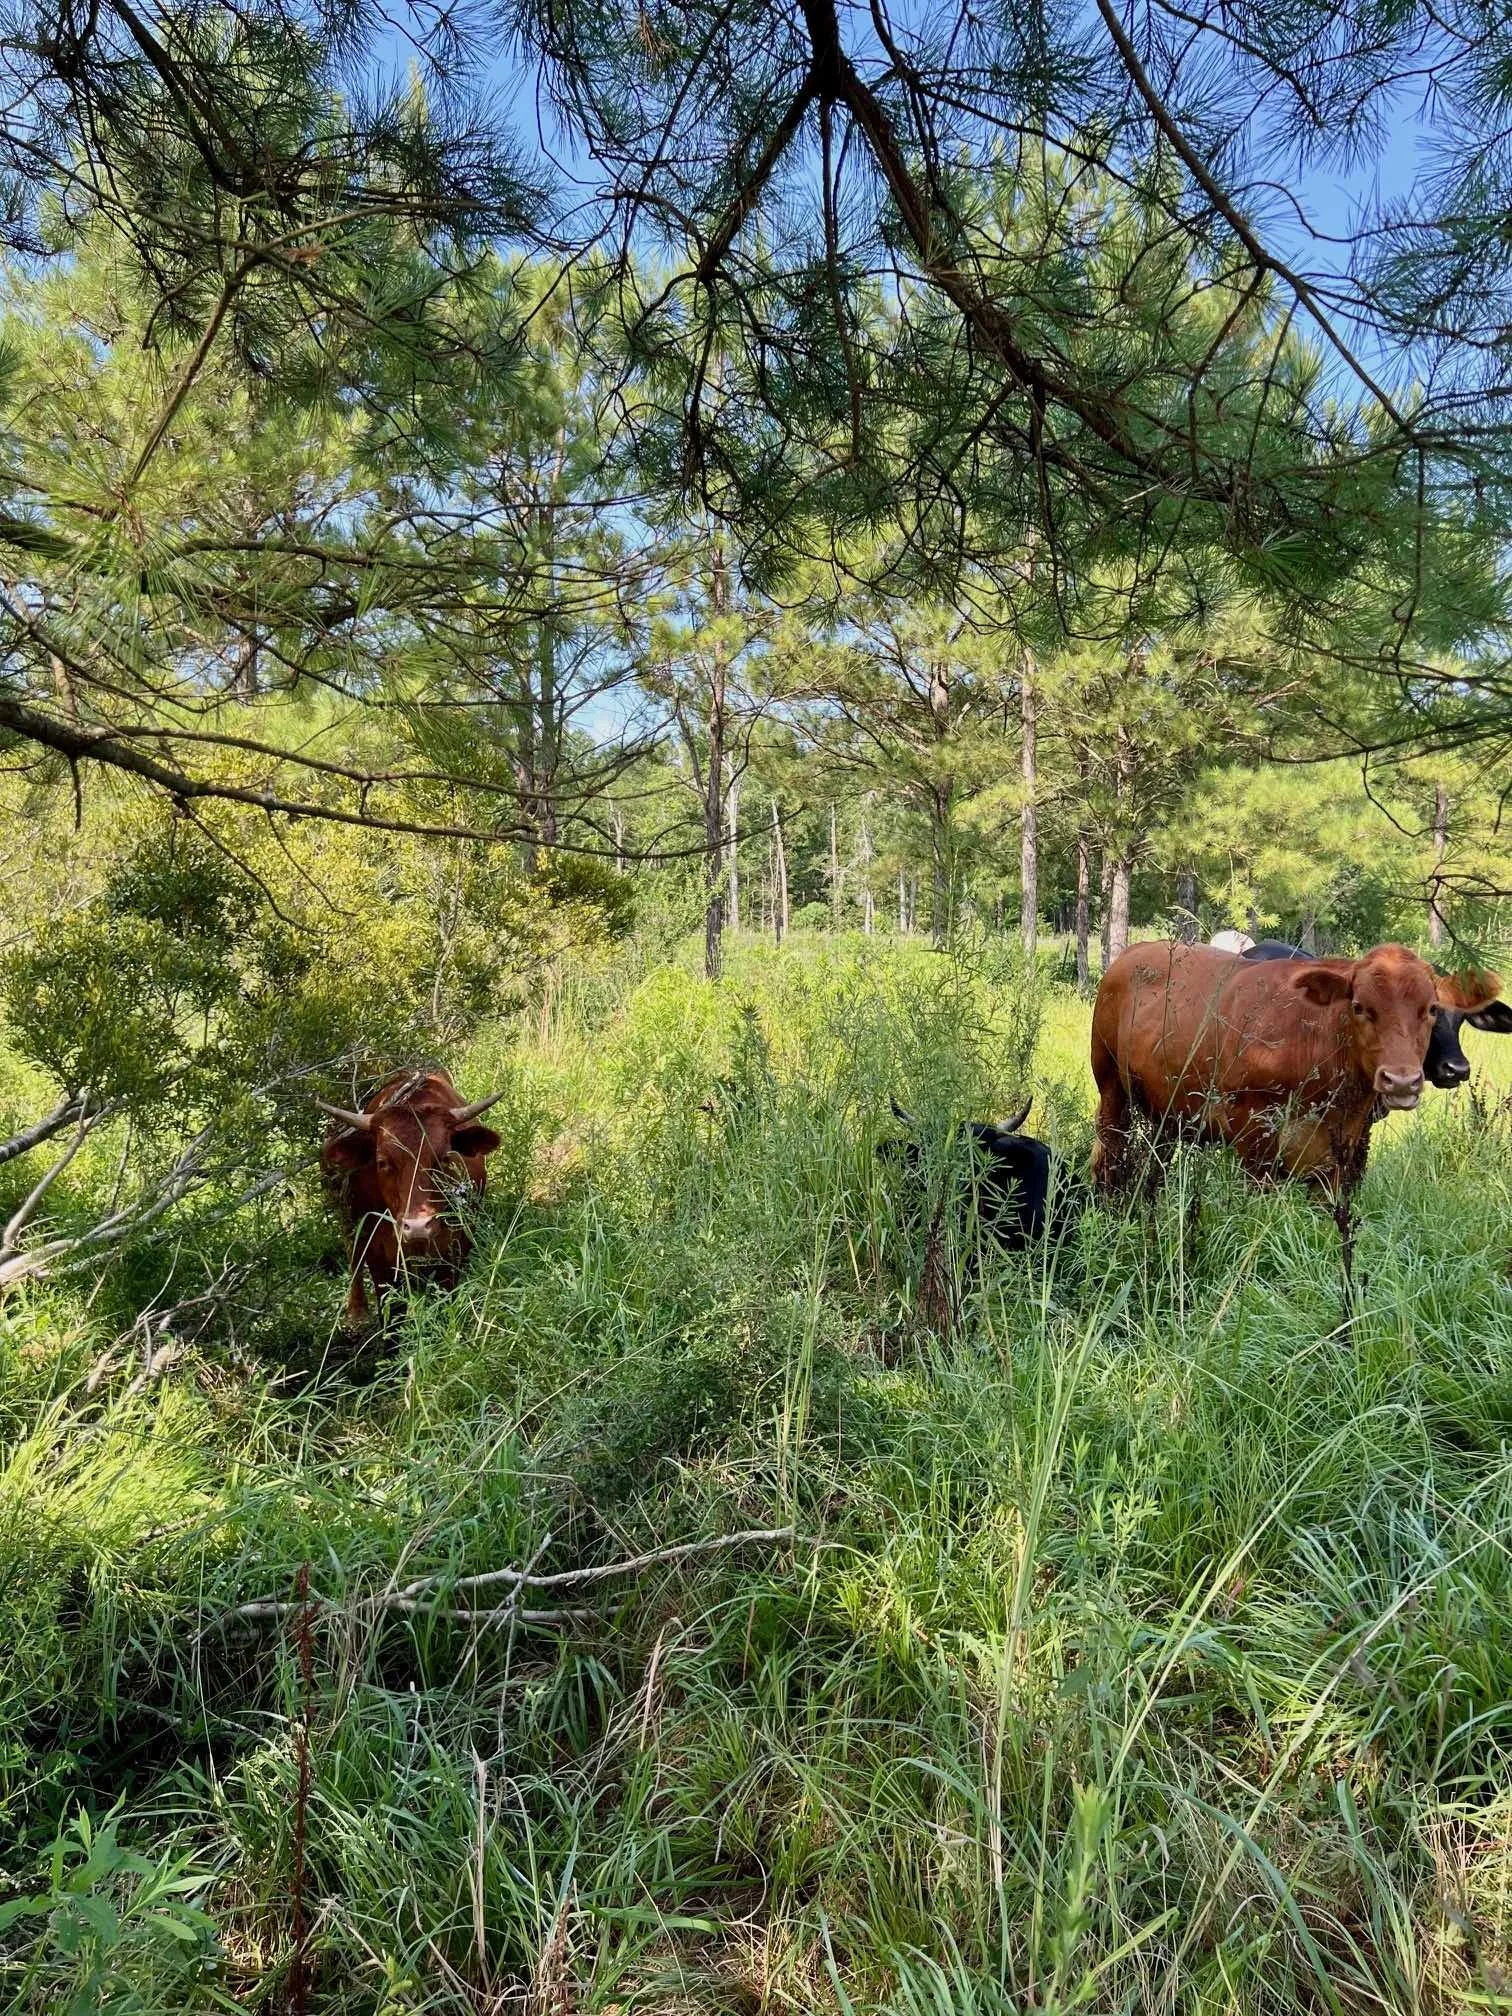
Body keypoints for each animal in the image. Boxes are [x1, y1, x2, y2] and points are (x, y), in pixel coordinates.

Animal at [318, 1069, 503, 1325]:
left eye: (445, 1158)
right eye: (382, 1162)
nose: (418, 1227)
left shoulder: (453, 1257)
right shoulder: (379, 1260)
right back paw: (356, 1311)